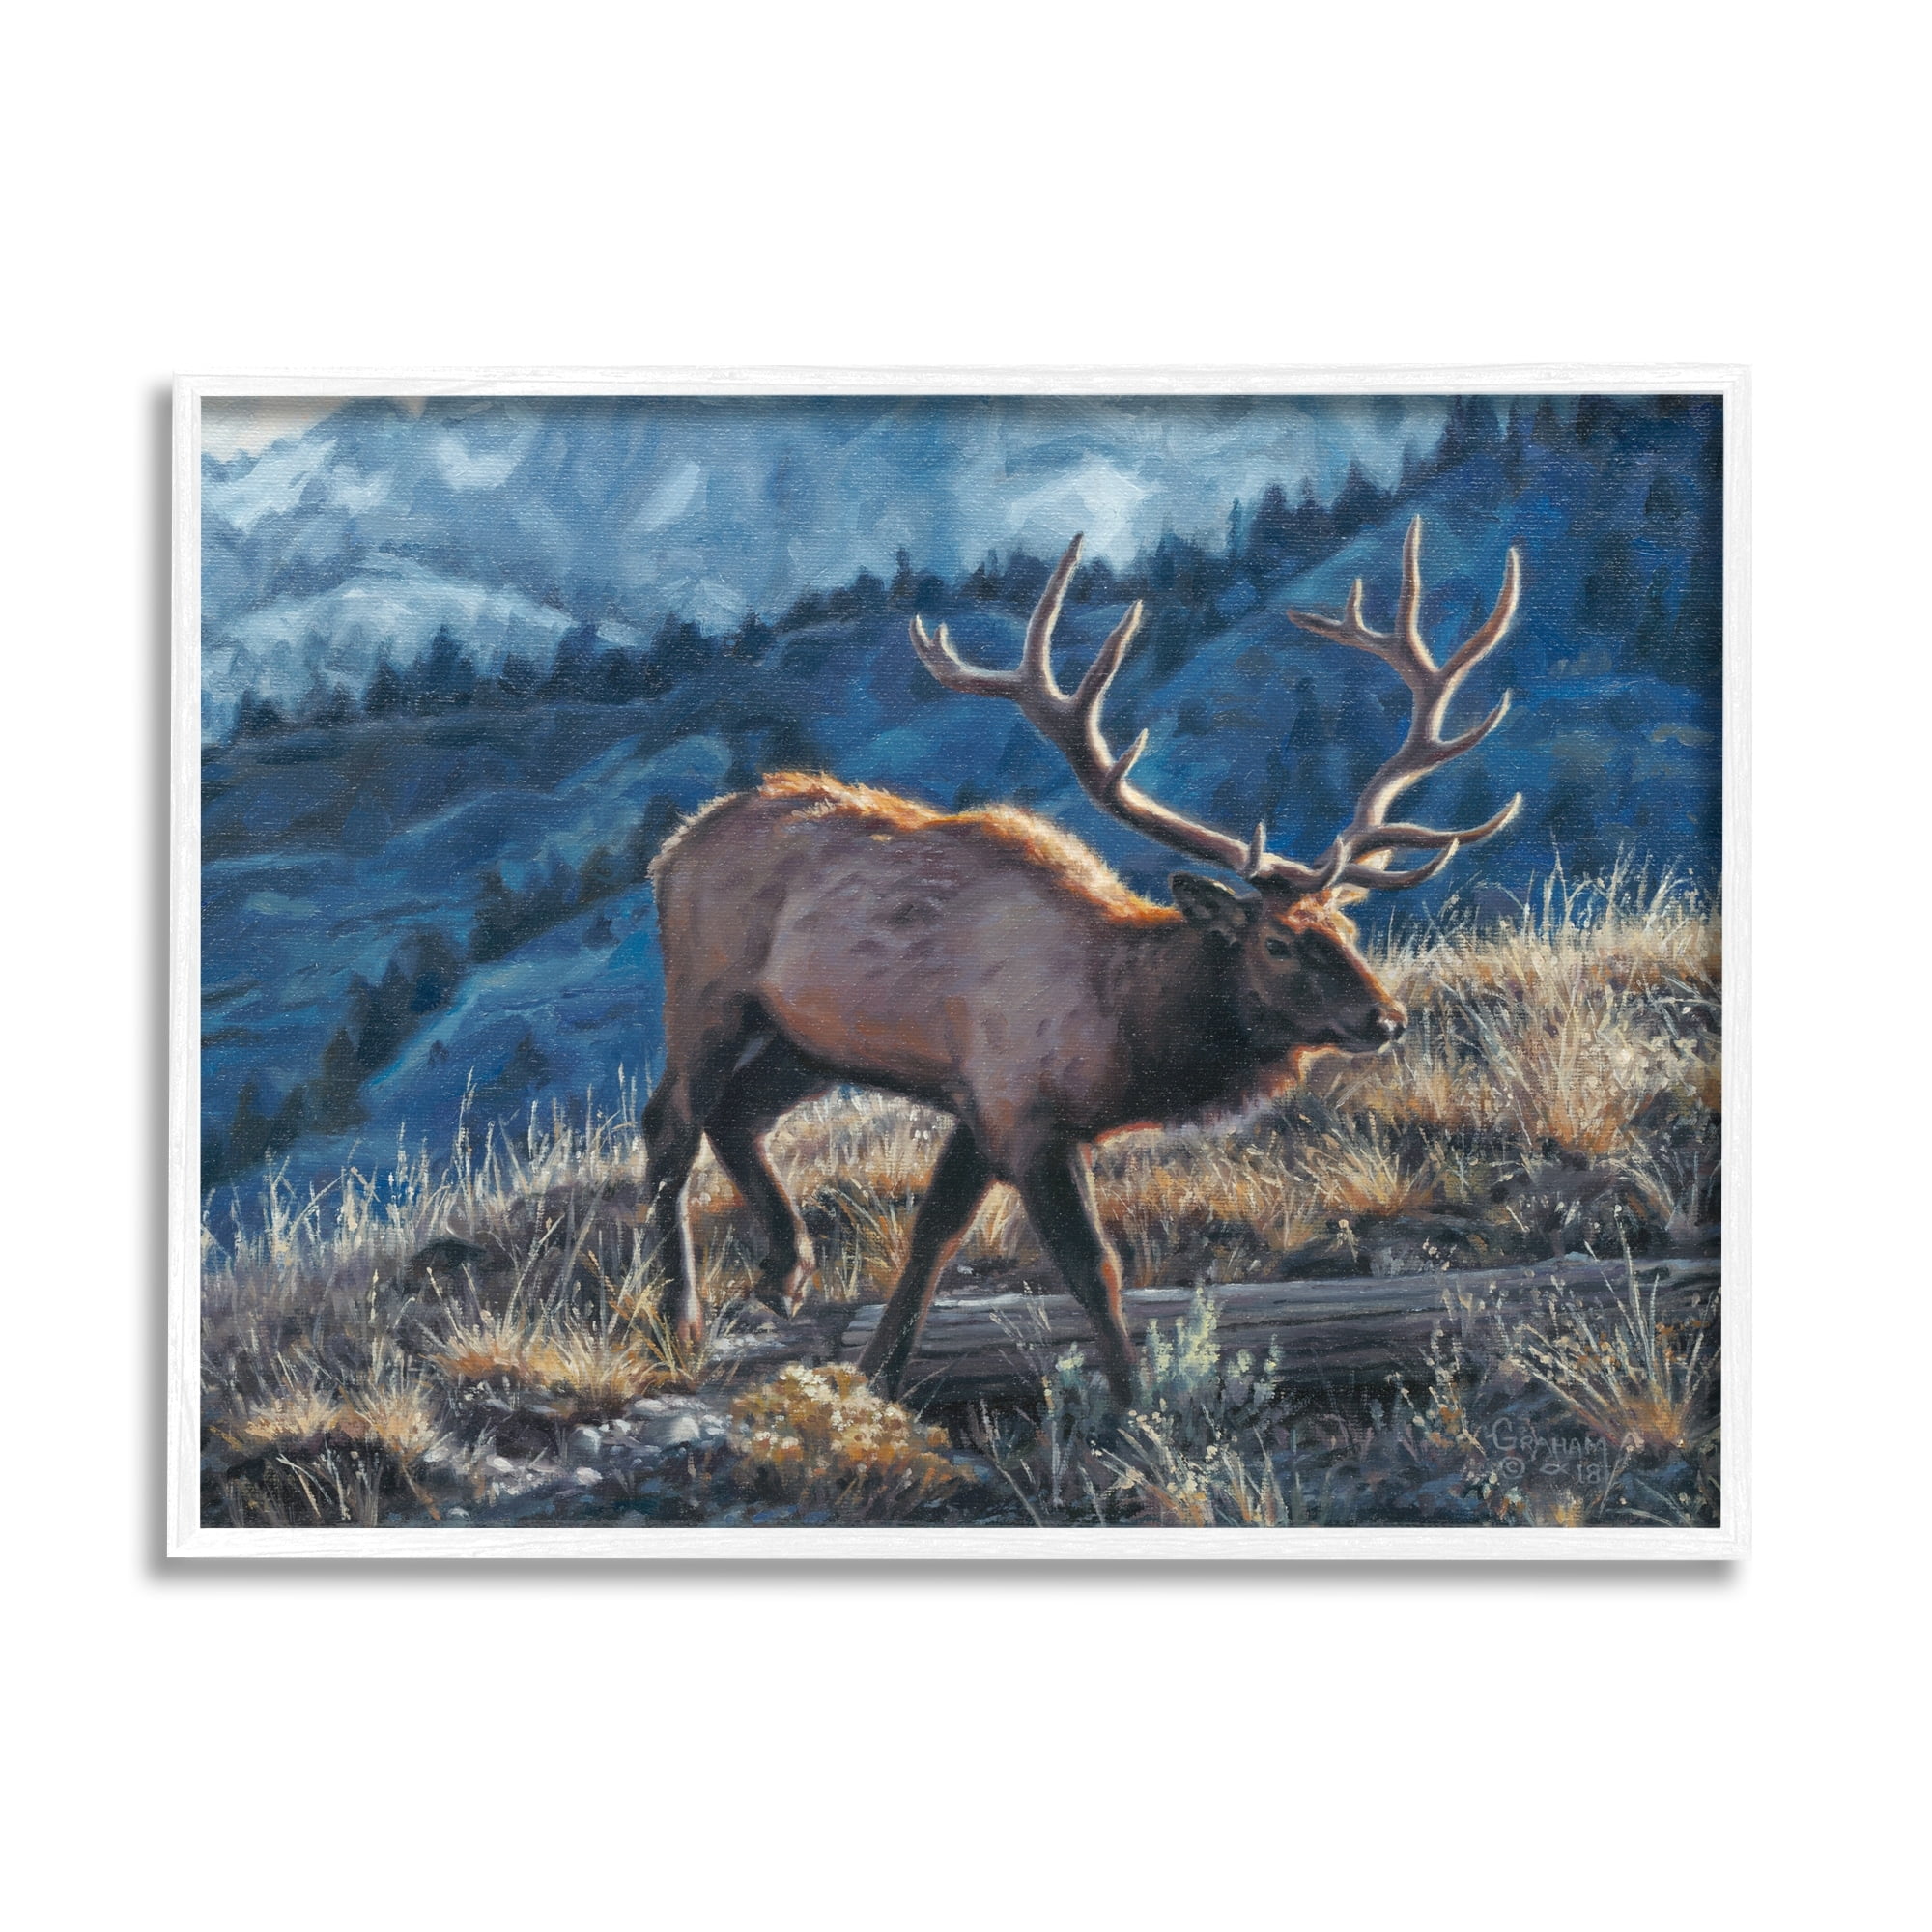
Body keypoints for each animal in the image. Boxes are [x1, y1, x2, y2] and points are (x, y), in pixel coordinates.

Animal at [640, 516, 1523, 1407]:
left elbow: (936, 1233)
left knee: (737, 1116)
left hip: (805, 1043)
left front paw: (879, 1373)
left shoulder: (981, 1107)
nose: (1385, 1017)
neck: (1123, 1027)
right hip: (708, 993)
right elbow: (1090, 1267)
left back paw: (784, 1271)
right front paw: (1136, 1408)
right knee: (673, 1125)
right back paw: (679, 1323)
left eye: (1346, 929)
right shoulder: (1022, 1113)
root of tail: (673, 846)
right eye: (1276, 942)